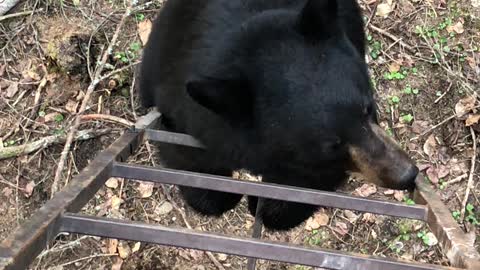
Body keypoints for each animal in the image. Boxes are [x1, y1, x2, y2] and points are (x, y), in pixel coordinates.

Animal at [138, 0, 416, 230]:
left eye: (368, 108)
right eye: (332, 145)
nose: (407, 175)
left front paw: (272, 207)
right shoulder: (186, 107)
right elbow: (186, 154)